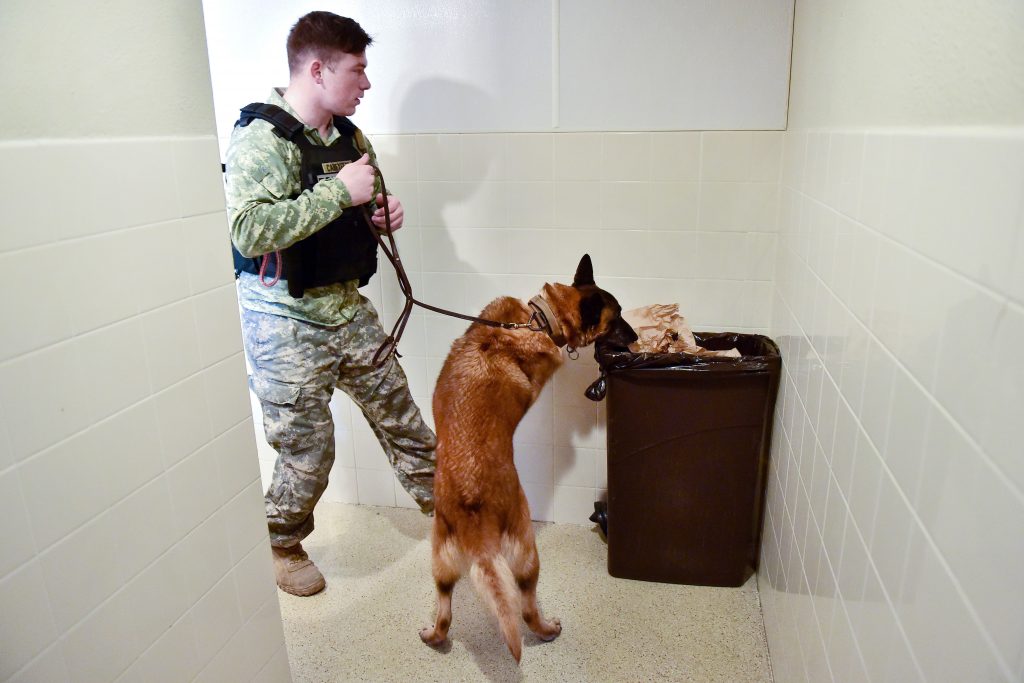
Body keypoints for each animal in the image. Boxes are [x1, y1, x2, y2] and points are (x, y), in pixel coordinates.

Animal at [419, 253, 634, 659]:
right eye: (617, 320)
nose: (636, 339)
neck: (538, 318)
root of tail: (473, 506)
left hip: (440, 562)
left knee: (445, 613)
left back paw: (433, 636)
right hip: (527, 553)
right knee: (526, 609)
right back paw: (548, 630)